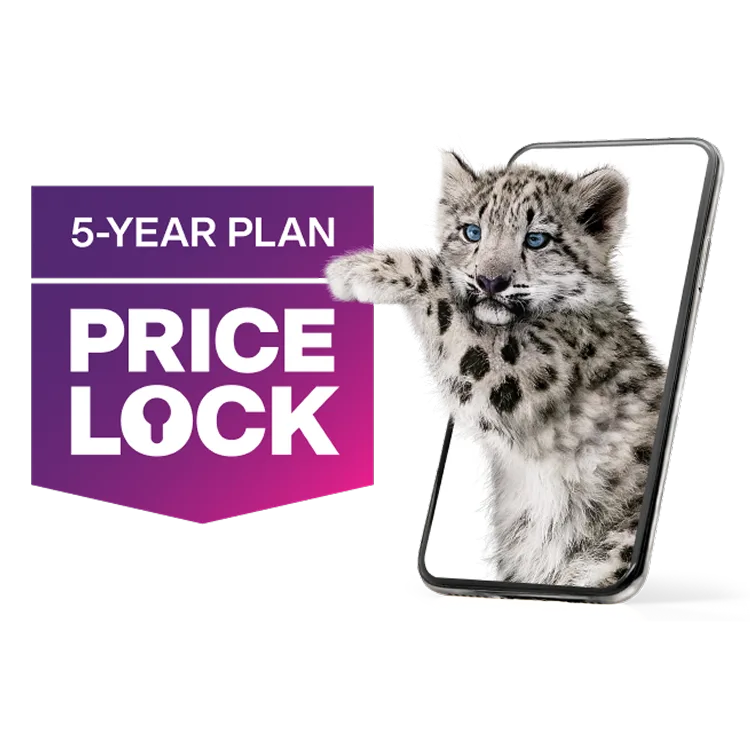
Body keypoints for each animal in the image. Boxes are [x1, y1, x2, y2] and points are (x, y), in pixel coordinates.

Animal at [323, 146, 666, 588]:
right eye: (472, 232)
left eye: (537, 239)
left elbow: (446, 296)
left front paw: (360, 268)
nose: (489, 281)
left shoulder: (523, 373)